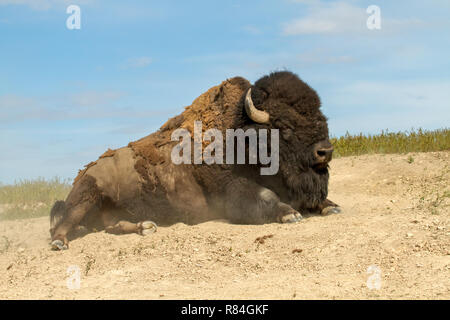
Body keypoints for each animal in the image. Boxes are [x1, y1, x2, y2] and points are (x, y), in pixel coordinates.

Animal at [49, 70, 342, 250]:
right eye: (285, 125)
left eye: (321, 115)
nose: (325, 151)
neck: (240, 134)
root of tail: (84, 171)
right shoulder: (231, 191)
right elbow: (265, 197)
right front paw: (289, 214)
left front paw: (331, 207)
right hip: (86, 197)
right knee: (62, 224)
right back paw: (59, 243)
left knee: (114, 226)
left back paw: (147, 227)